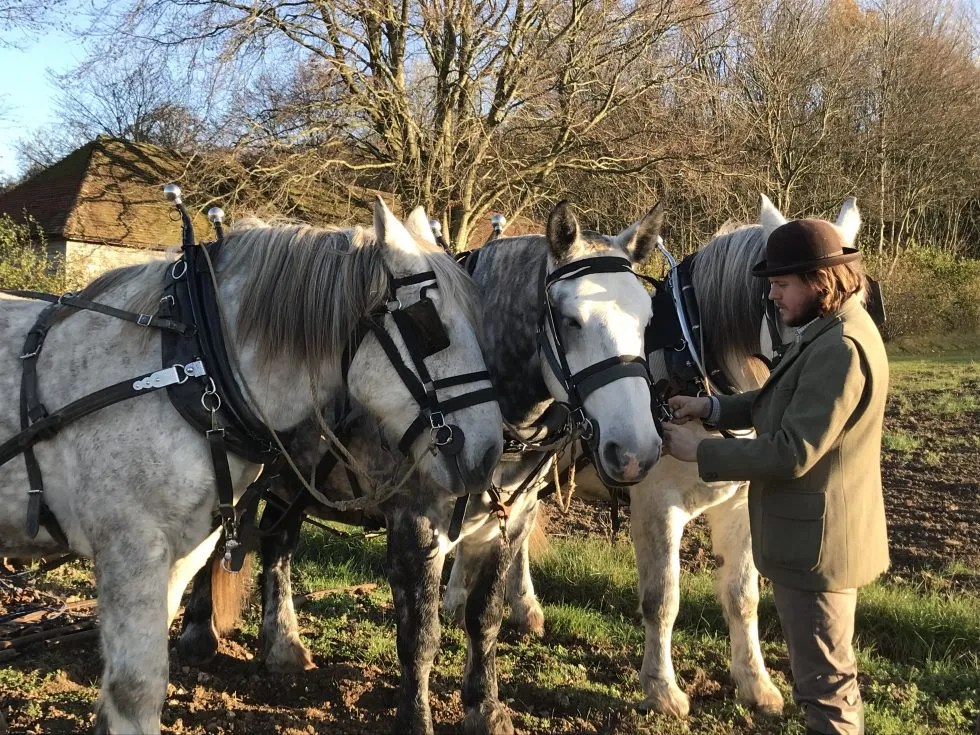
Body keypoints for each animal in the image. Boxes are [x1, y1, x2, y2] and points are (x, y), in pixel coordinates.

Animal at [0, 198, 504, 735]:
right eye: (428, 323)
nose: (490, 454)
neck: (192, 370)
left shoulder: (182, 552)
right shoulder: (129, 551)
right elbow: (137, 688)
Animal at [178, 200, 667, 734]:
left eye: (648, 320)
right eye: (572, 321)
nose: (636, 451)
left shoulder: (509, 524)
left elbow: (485, 618)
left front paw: (485, 707)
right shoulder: (417, 526)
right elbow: (420, 636)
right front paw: (417, 718)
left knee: (278, 544)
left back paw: (282, 645)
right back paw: (199, 632)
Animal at [477, 195, 863, 719]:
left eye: (859, 294)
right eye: (818, 297)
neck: (690, 359)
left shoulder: (738, 502)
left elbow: (742, 595)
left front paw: (755, 684)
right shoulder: (658, 508)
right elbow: (662, 599)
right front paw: (662, 689)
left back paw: (524, 608)